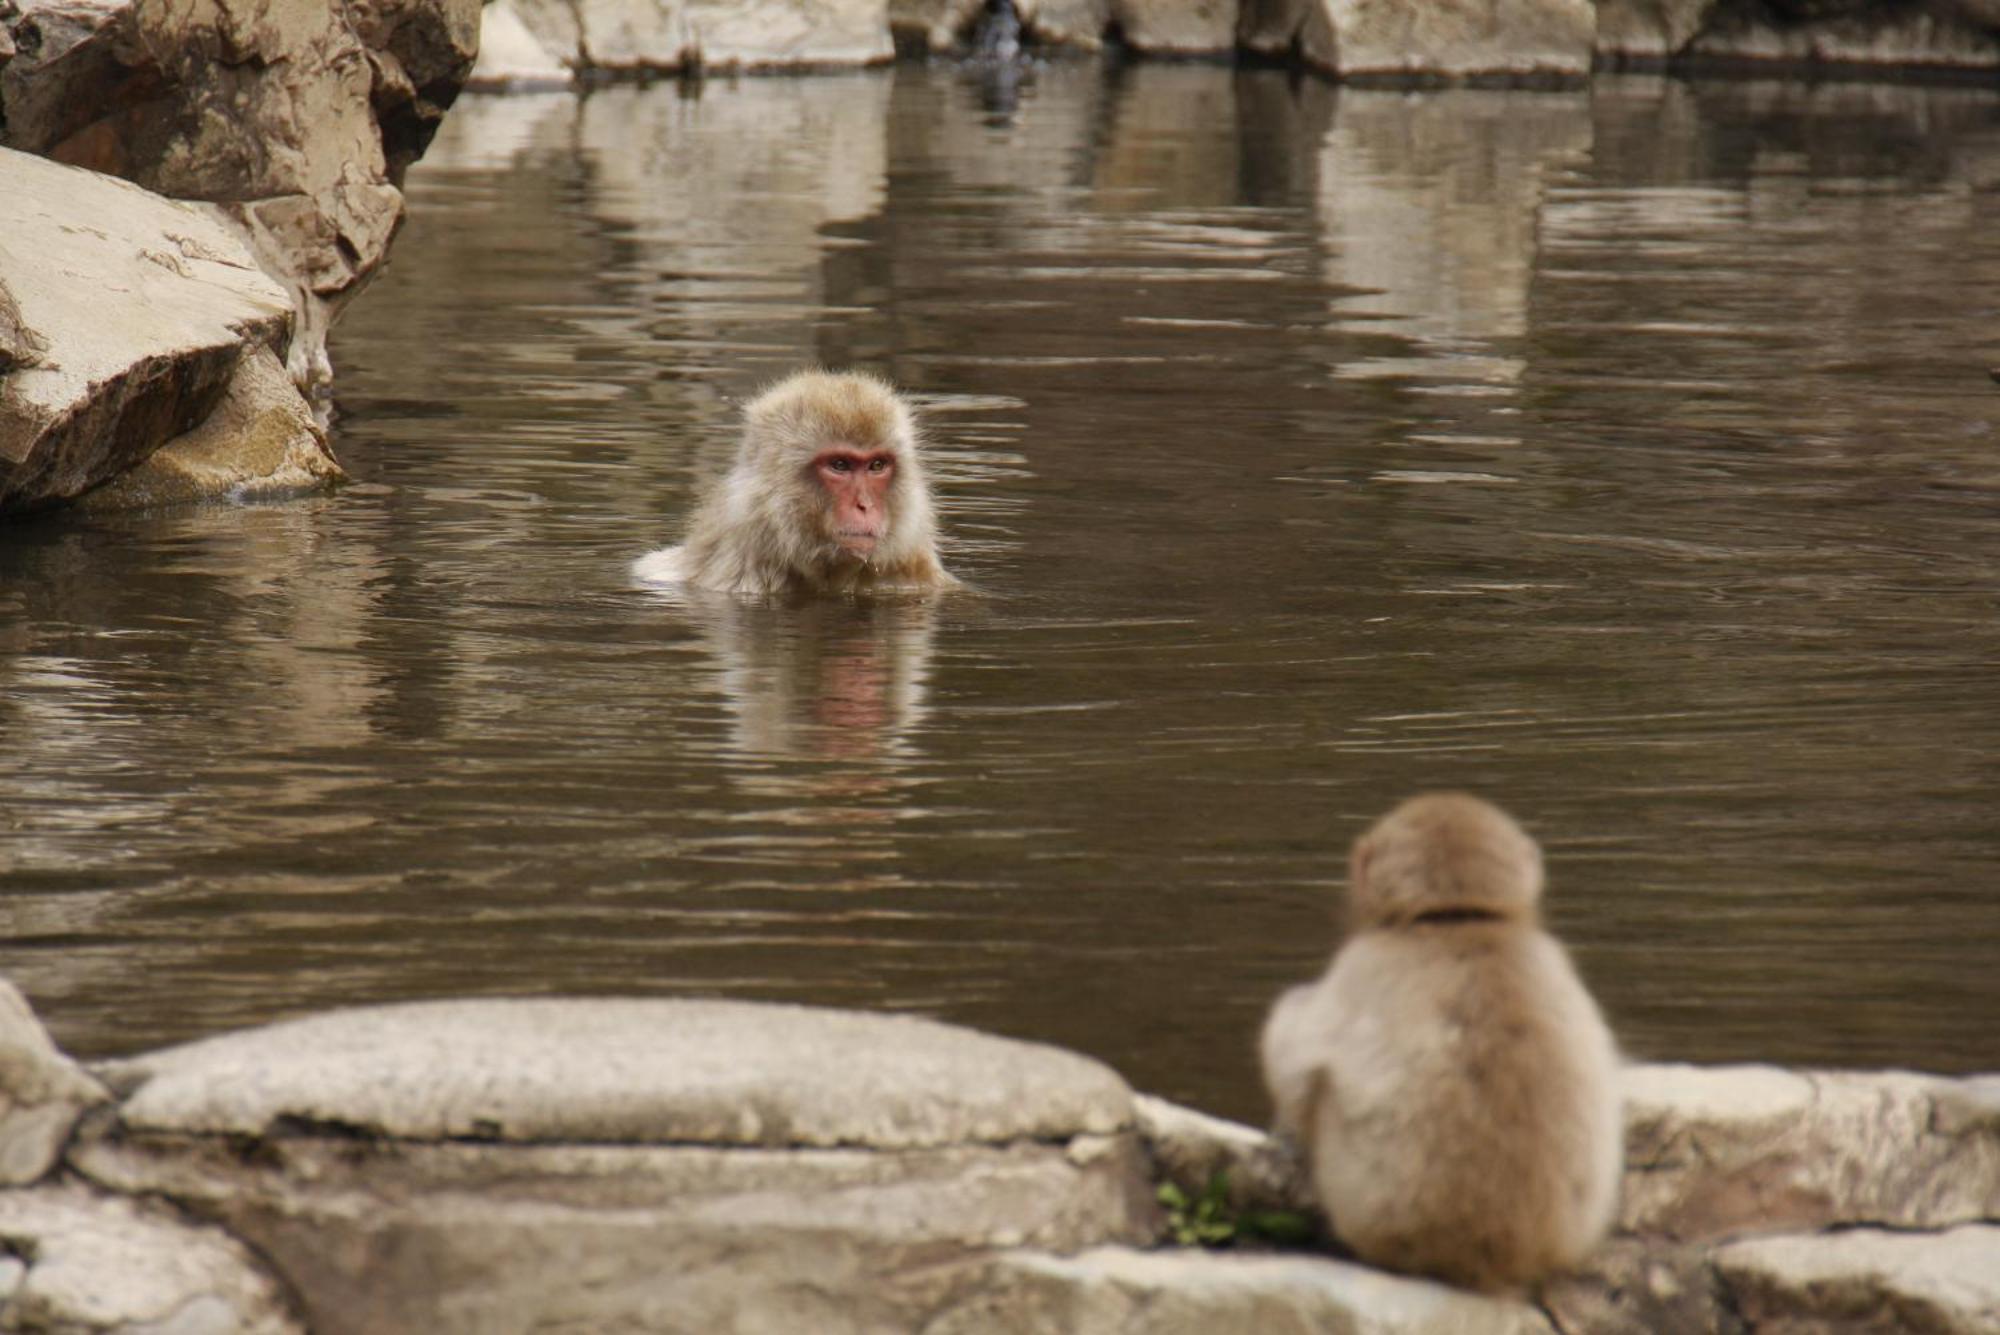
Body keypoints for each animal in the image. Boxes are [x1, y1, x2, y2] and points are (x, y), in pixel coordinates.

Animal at [1264, 791, 1624, 1295]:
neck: (1457, 920)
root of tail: (1496, 1258)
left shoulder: (1362, 964)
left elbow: (1293, 1058)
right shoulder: (1554, 959)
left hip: (1366, 1209)